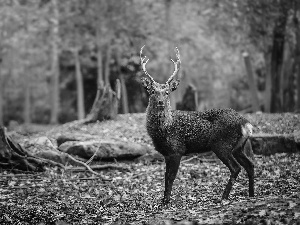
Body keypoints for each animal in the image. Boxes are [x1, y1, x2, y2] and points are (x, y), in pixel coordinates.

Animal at [139, 46, 254, 206]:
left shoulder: (177, 150)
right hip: (239, 146)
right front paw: (163, 200)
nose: (161, 102)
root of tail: (245, 123)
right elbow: (165, 177)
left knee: (236, 167)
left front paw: (166, 201)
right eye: (152, 91)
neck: (164, 129)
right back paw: (251, 194)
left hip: (222, 144)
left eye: (167, 92)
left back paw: (223, 197)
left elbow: (171, 177)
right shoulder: (167, 154)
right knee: (250, 165)